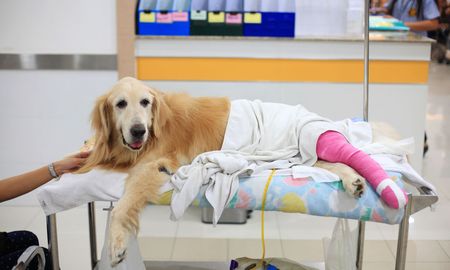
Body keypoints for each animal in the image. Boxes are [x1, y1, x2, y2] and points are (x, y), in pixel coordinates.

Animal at [78, 76, 366, 266]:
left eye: (145, 102)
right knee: (334, 163)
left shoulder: (153, 164)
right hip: (300, 157)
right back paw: (354, 181)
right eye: (121, 104)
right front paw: (86, 149)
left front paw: (117, 243)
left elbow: (122, 206)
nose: (138, 130)